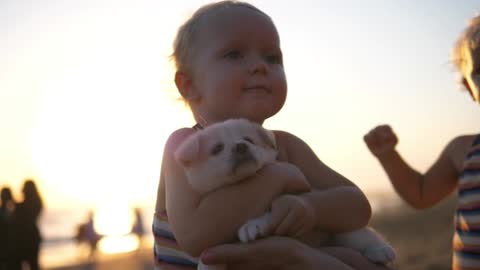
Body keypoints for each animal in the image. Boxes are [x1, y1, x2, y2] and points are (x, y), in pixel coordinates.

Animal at [174, 119, 396, 268]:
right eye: (217, 148)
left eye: (248, 140)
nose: (241, 146)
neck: (245, 183)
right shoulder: (212, 235)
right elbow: (208, 255)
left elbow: (271, 210)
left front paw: (253, 225)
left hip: (344, 229)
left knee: (363, 234)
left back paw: (381, 250)